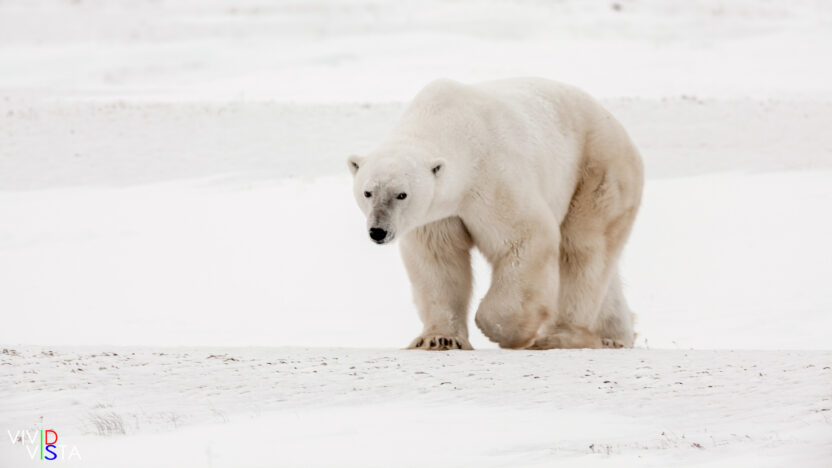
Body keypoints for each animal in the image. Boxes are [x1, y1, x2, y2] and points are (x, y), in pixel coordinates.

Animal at [348, 78, 643, 350]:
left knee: (582, 250)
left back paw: (560, 337)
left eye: (402, 194)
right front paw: (439, 338)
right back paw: (615, 336)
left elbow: (526, 237)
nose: (378, 231)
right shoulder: (438, 214)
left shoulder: (492, 177)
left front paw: (500, 330)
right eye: (367, 192)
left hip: (597, 171)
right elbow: (438, 261)